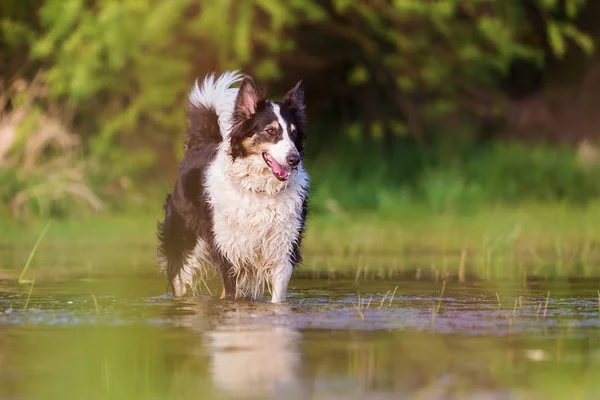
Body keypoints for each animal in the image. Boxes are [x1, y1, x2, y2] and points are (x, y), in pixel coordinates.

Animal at [157, 72, 310, 304]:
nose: (294, 159)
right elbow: (229, 296)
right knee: (179, 283)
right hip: (182, 245)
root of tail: (199, 145)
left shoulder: (283, 252)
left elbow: (278, 300)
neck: (261, 191)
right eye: (271, 131)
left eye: (294, 134)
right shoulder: (229, 254)